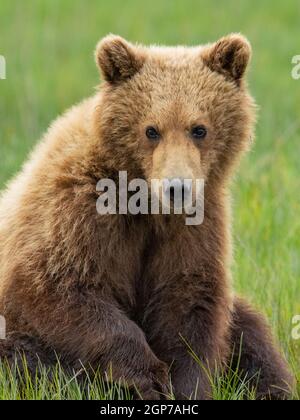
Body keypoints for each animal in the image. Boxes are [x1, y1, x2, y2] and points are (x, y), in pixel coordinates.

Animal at [0, 34, 294, 398]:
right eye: (151, 130)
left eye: (199, 129)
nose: (177, 188)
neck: (145, 203)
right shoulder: (78, 211)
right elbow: (54, 286)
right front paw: (148, 376)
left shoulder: (195, 225)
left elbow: (187, 302)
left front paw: (185, 385)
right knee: (25, 358)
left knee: (251, 335)